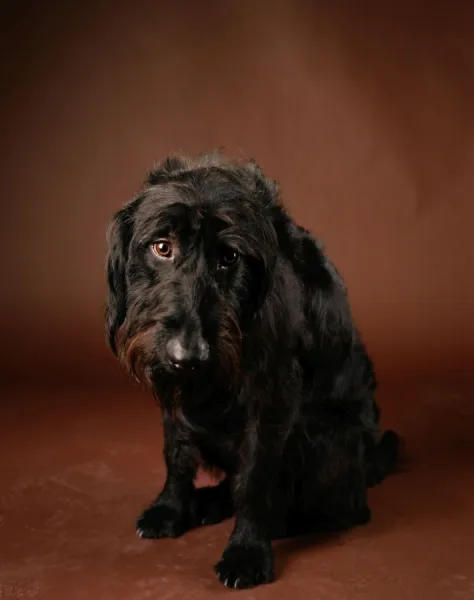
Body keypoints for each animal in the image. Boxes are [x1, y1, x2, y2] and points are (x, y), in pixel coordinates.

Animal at [104, 151, 400, 592]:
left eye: (230, 257)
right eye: (162, 247)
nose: (187, 354)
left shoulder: (273, 397)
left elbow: (255, 479)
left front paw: (247, 550)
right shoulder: (173, 389)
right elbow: (176, 454)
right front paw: (171, 508)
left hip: (324, 438)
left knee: (345, 510)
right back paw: (207, 501)